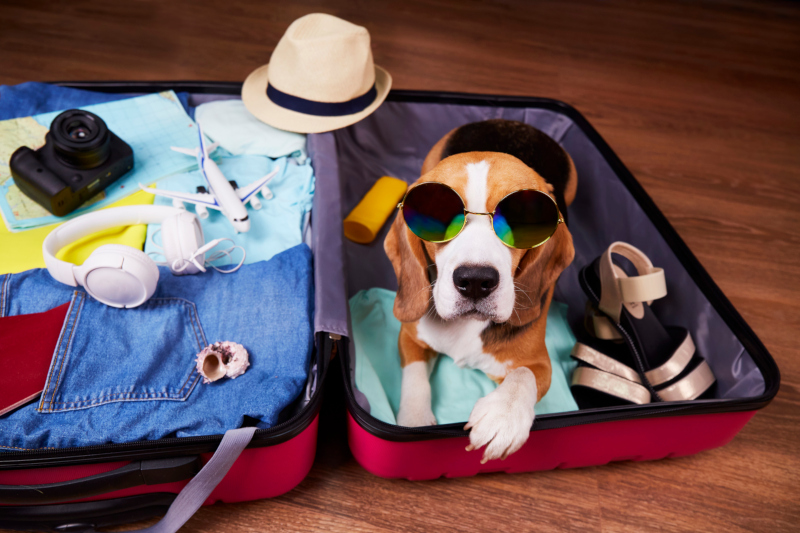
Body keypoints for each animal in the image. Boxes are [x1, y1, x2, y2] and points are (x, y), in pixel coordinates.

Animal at [382, 119, 576, 462]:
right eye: (437, 215)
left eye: (522, 221)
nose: (474, 280)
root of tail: (513, 122)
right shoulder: (411, 337)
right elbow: (415, 380)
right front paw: (414, 422)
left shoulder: (540, 364)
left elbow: (523, 376)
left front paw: (503, 416)